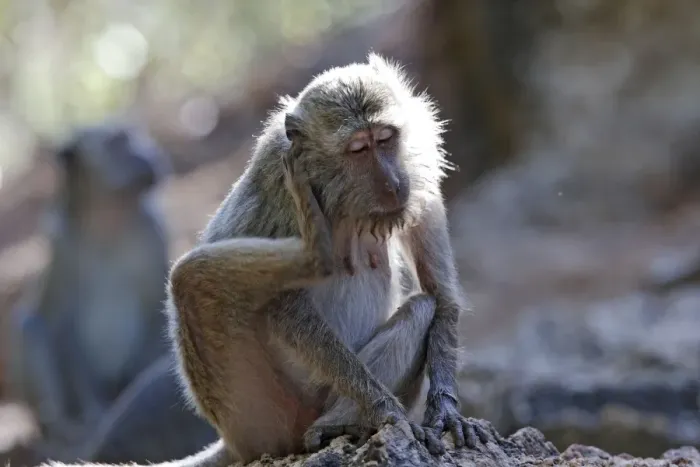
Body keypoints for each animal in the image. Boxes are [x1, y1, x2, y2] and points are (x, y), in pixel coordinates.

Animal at [5, 122, 173, 447]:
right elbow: (64, 325)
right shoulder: (62, 248)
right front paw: (95, 413)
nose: (146, 152)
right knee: (32, 328)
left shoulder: (153, 232)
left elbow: (154, 309)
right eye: (119, 143)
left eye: (138, 137)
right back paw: (63, 426)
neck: (109, 221)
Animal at [41, 53, 497, 467]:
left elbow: (441, 295)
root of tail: (234, 442)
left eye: (386, 138)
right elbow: (284, 306)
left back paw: (340, 421)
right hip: (258, 413)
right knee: (192, 278)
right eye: (358, 149)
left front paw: (446, 412)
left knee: (422, 308)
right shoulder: (282, 178)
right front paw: (384, 409)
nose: (392, 183)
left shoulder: (420, 180)